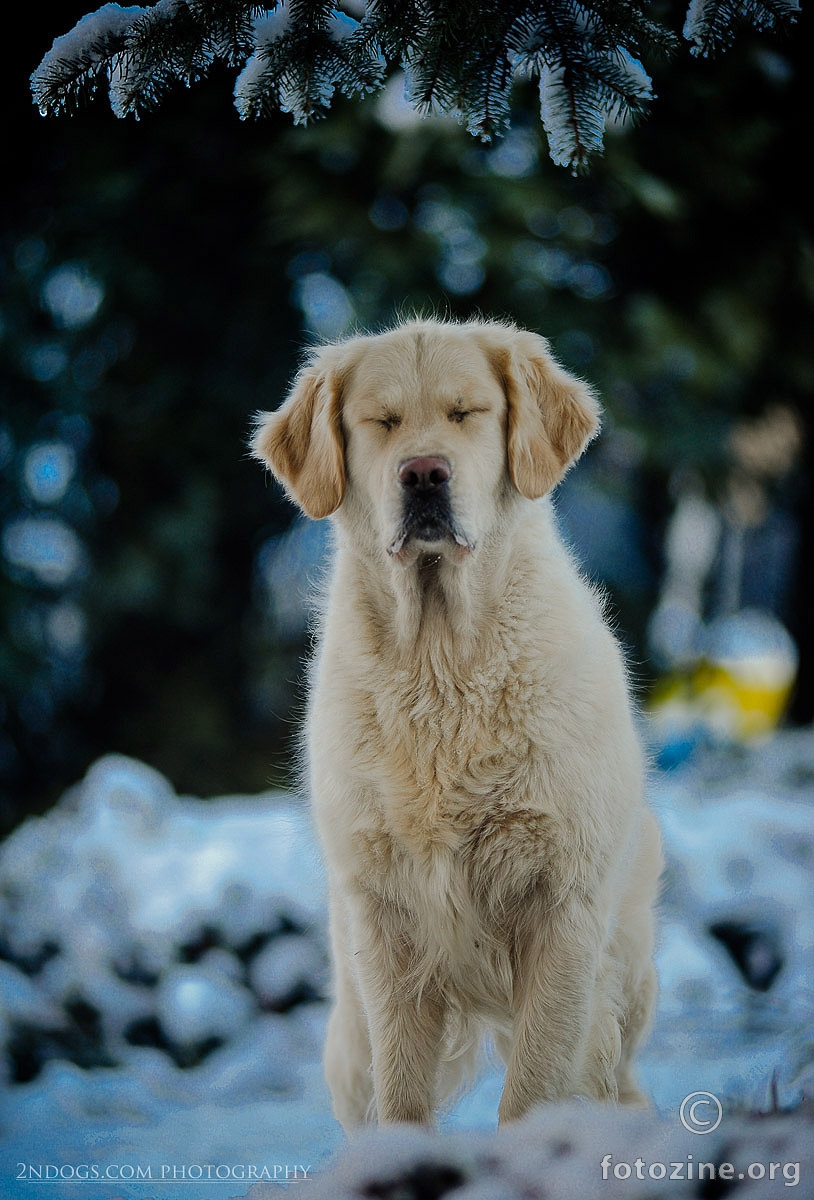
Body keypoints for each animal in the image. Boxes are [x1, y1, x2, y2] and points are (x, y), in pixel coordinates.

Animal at [250, 316, 662, 1123]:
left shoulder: (562, 909)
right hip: (349, 1024)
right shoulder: (386, 922)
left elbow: (532, 1091)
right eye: (380, 423)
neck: (443, 662)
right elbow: (402, 1096)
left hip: (621, 984)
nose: (423, 475)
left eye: (466, 413)